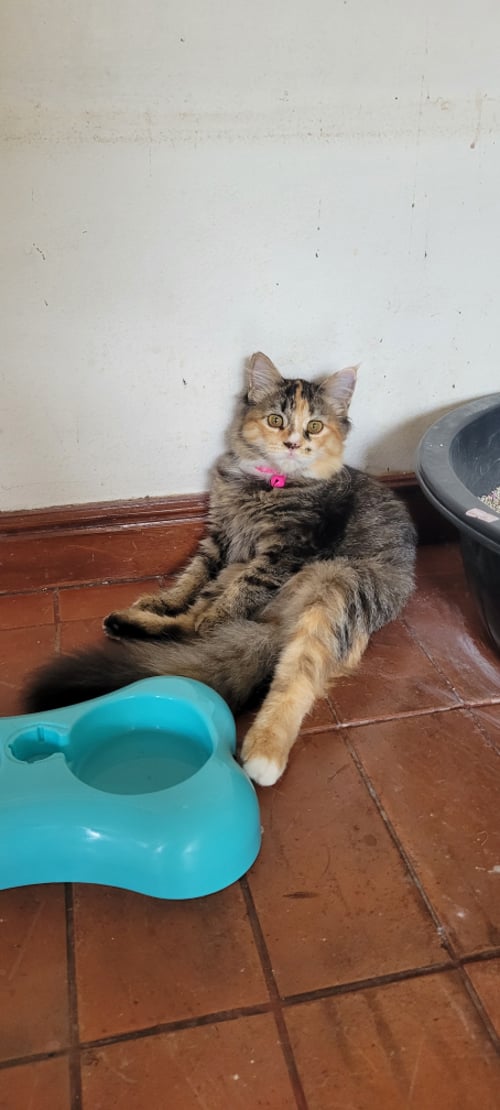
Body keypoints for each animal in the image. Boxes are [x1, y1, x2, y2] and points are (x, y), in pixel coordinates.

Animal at [25, 352, 416, 786]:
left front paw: (211, 621)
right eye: (276, 420)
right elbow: (191, 578)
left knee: (289, 675)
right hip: (261, 578)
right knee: (190, 621)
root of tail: (280, 623)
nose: (293, 444)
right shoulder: (222, 539)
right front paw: (162, 601)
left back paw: (263, 754)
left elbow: (232, 600)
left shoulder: (281, 554)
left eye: (314, 426)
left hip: (335, 591)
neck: (270, 485)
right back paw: (129, 622)